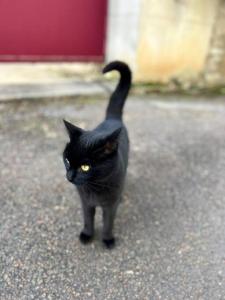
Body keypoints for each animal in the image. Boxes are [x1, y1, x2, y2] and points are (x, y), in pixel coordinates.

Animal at [62, 61, 132, 248]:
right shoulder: (86, 202)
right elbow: (88, 219)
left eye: (86, 167)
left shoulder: (110, 206)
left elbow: (108, 222)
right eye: (67, 160)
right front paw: (87, 235)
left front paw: (107, 239)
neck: (95, 187)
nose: (69, 176)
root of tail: (111, 119)